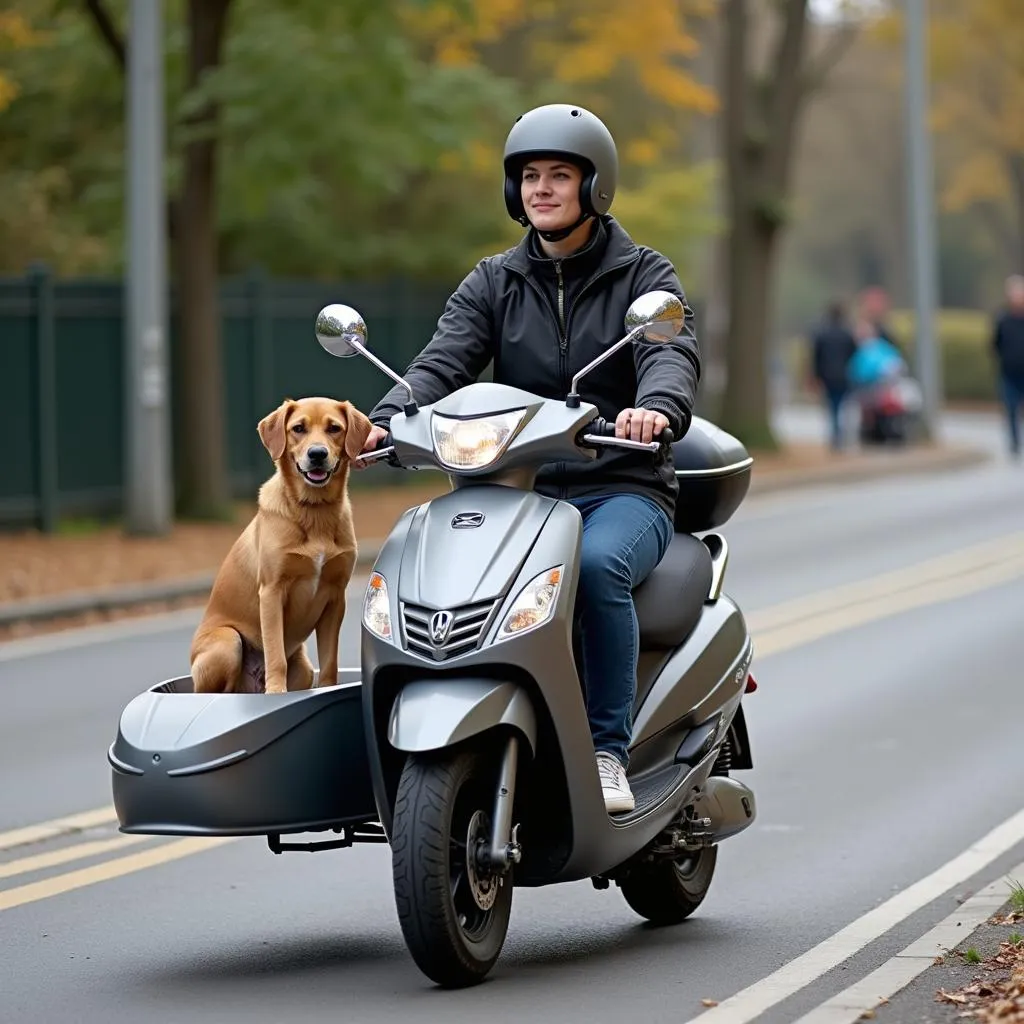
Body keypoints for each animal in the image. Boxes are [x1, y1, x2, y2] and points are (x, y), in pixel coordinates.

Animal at [189, 395, 372, 692]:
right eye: (298, 428)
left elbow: (329, 660)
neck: (314, 510)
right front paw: (276, 691)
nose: (317, 454)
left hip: (304, 668)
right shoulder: (272, 592)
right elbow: (275, 653)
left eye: (334, 428)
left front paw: (328, 687)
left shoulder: (335, 598)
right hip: (228, 642)